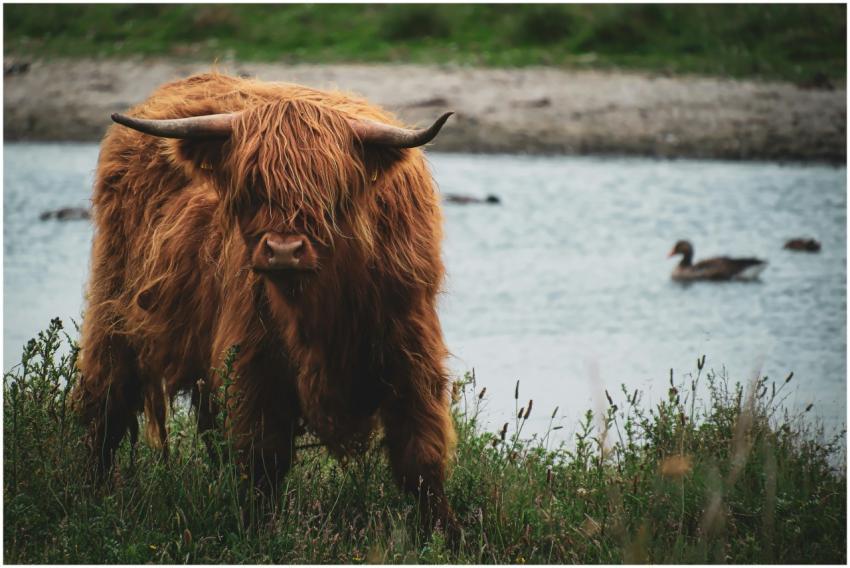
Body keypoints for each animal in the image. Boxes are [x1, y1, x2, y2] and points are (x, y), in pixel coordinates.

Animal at [72, 72, 458, 535]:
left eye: (327, 189)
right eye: (252, 187)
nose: (284, 250)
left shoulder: (411, 355)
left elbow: (421, 459)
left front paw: (446, 536)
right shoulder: (255, 361)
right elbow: (262, 462)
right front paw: (255, 533)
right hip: (113, 313)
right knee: (104, 406)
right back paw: (87, 496)